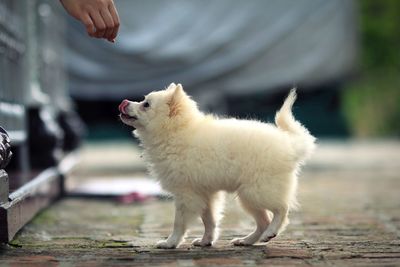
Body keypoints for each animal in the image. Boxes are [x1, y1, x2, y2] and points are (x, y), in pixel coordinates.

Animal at [119, 83, 316, 249]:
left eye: (146, 104)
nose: (124, 102)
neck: (176, 131)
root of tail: (290, 145)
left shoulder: (186, 194)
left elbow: (179, 222)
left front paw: (171, 242)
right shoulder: (204, 193)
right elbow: (209, 221)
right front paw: (206, 241)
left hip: (257, 191)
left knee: (282, 210)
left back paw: (271, 231)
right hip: (249, 197)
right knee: (263, 222)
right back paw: (247, 240)